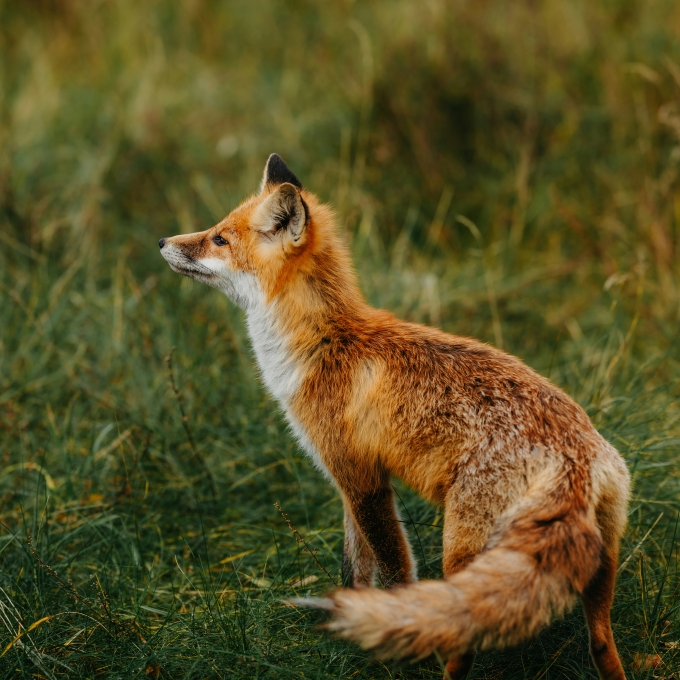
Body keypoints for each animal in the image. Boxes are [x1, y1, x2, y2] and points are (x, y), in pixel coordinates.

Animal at [158, 153, 631, 680]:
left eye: (219, 238)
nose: (162, 242)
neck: (324, 343)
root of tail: (574, 458)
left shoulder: (362, 480)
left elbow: (392, 569)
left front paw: (388, 634)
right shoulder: (347, 483)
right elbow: (353, 567)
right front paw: (344, 630)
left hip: (460, 549)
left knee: (463, 631)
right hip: (599, 563)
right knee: (601, 642)